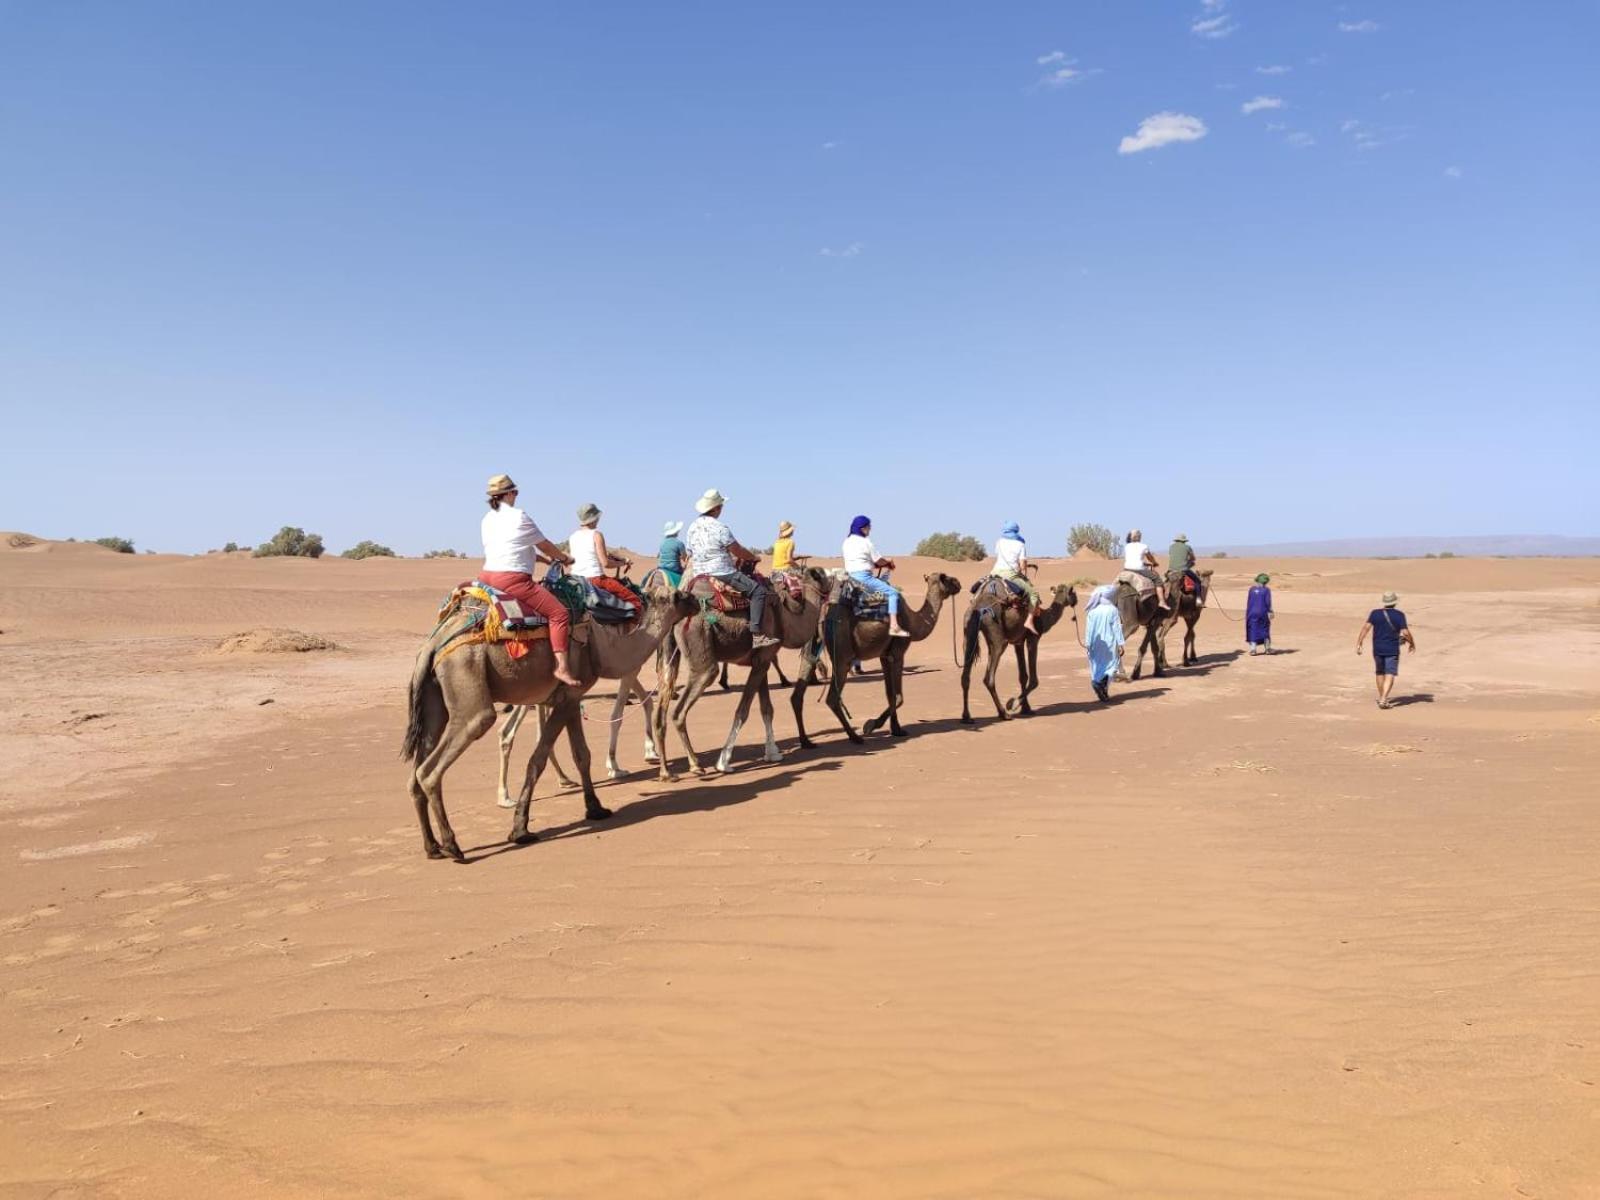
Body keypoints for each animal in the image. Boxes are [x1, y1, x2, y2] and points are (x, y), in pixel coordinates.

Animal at [403, 585, 697, 857]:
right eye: (680, 595)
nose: (696, 601)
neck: (601, 647)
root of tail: (433, 645)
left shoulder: (571, 698)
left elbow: (582, 755)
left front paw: (596, 808)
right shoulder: (566, 698)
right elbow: (538, 760)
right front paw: (520, 830)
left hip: (434, 698)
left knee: (416, 772)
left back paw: (432, 847)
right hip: (467, 679)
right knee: (433, 766)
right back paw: (452, 846)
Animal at [652, 569, 832, 784]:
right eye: (823, 575)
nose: (837, 578)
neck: (784, 615)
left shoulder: (762, 660)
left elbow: (766, 709)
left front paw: (772, 753)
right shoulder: (763, 659)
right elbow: (742, 711)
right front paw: (724, 762)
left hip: (670, 657)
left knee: (660, 711)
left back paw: (666, 772)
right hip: (701, 649)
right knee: (681, 709)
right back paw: (695, 765)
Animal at [796, 579, 966, 748]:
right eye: (947, 578)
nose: (958, 584)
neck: (913, 622)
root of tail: (822, 613)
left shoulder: (884, 656)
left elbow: (890, 694)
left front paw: (896, 729)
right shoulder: (897, 653)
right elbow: (898, 696)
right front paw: (871, 725)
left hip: (814, 644)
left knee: (798, 693)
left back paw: (806, 742)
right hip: (842, 651)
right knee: (832, 698)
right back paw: (855, 737)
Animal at [953, 582, 1081, 723]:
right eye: (1074, 593)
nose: (1076, 601)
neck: (1044, 617)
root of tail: (979, 608)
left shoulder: (1018, 642)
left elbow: (1023, 676)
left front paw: (1026, 708)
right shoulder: (1033, 637)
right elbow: (1034, 679)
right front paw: (1013, 704)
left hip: (969, 631)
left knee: (965, 676)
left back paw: (967, 717)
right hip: (997, 637)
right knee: (989, 678)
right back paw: (1004, 713)